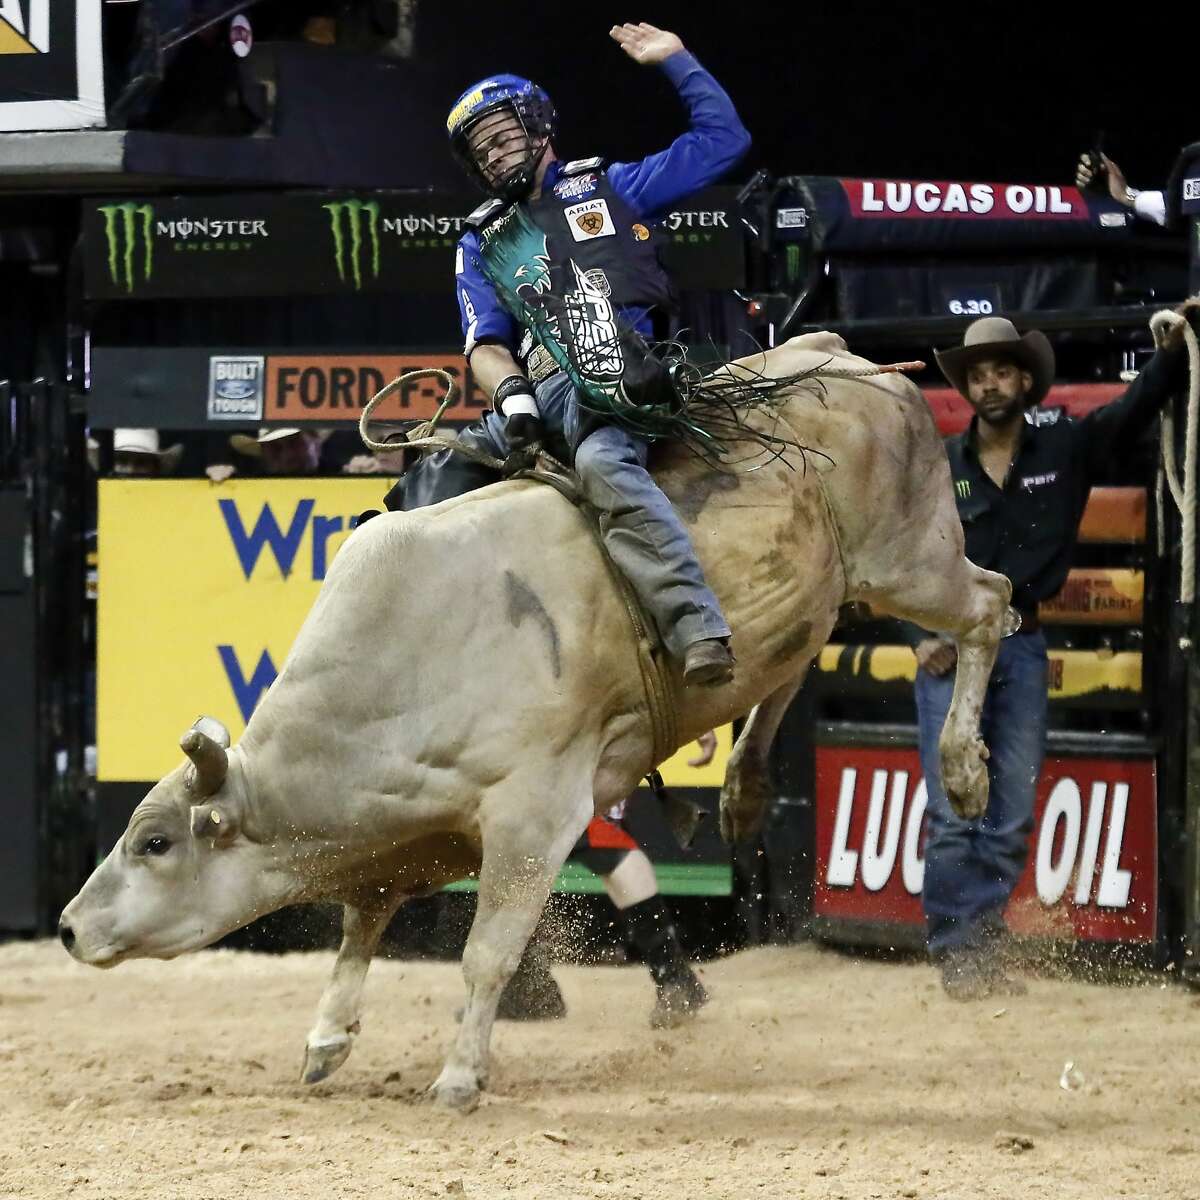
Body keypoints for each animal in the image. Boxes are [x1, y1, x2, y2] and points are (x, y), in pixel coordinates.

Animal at [58, 333, 1012, 1108]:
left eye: (155, 842)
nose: (67, 926)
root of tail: (846, 359)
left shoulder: (532, 815)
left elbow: (487, 950)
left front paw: (457, 1077)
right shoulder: (412, 835)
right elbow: (362, 922)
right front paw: (327, 1040)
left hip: (910, 559)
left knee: (989, 604)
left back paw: (964, 771)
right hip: (834, 593)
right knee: (800, 658)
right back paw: (742, 789)